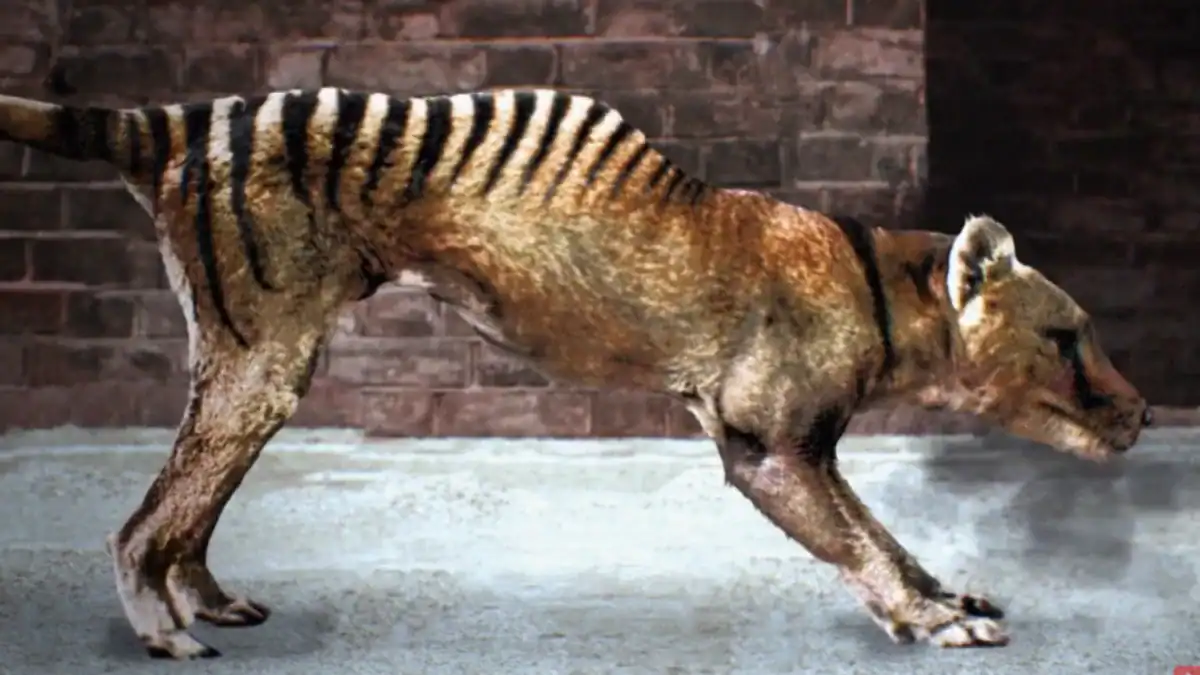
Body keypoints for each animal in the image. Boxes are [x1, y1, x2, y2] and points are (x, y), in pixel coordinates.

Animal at [0, 82, 1151, 660]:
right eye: (1067, 335)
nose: (1142, 413)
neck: (886, 288)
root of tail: (175, 117)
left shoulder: (812, 449)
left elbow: (885, 534)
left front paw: (940, 592)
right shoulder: (767, 446)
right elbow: (859, 544)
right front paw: (932, 621)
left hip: (264, 366)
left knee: (192, 506)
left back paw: (204, 600)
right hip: (263, 360)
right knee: (144, 521)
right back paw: (162, 630)